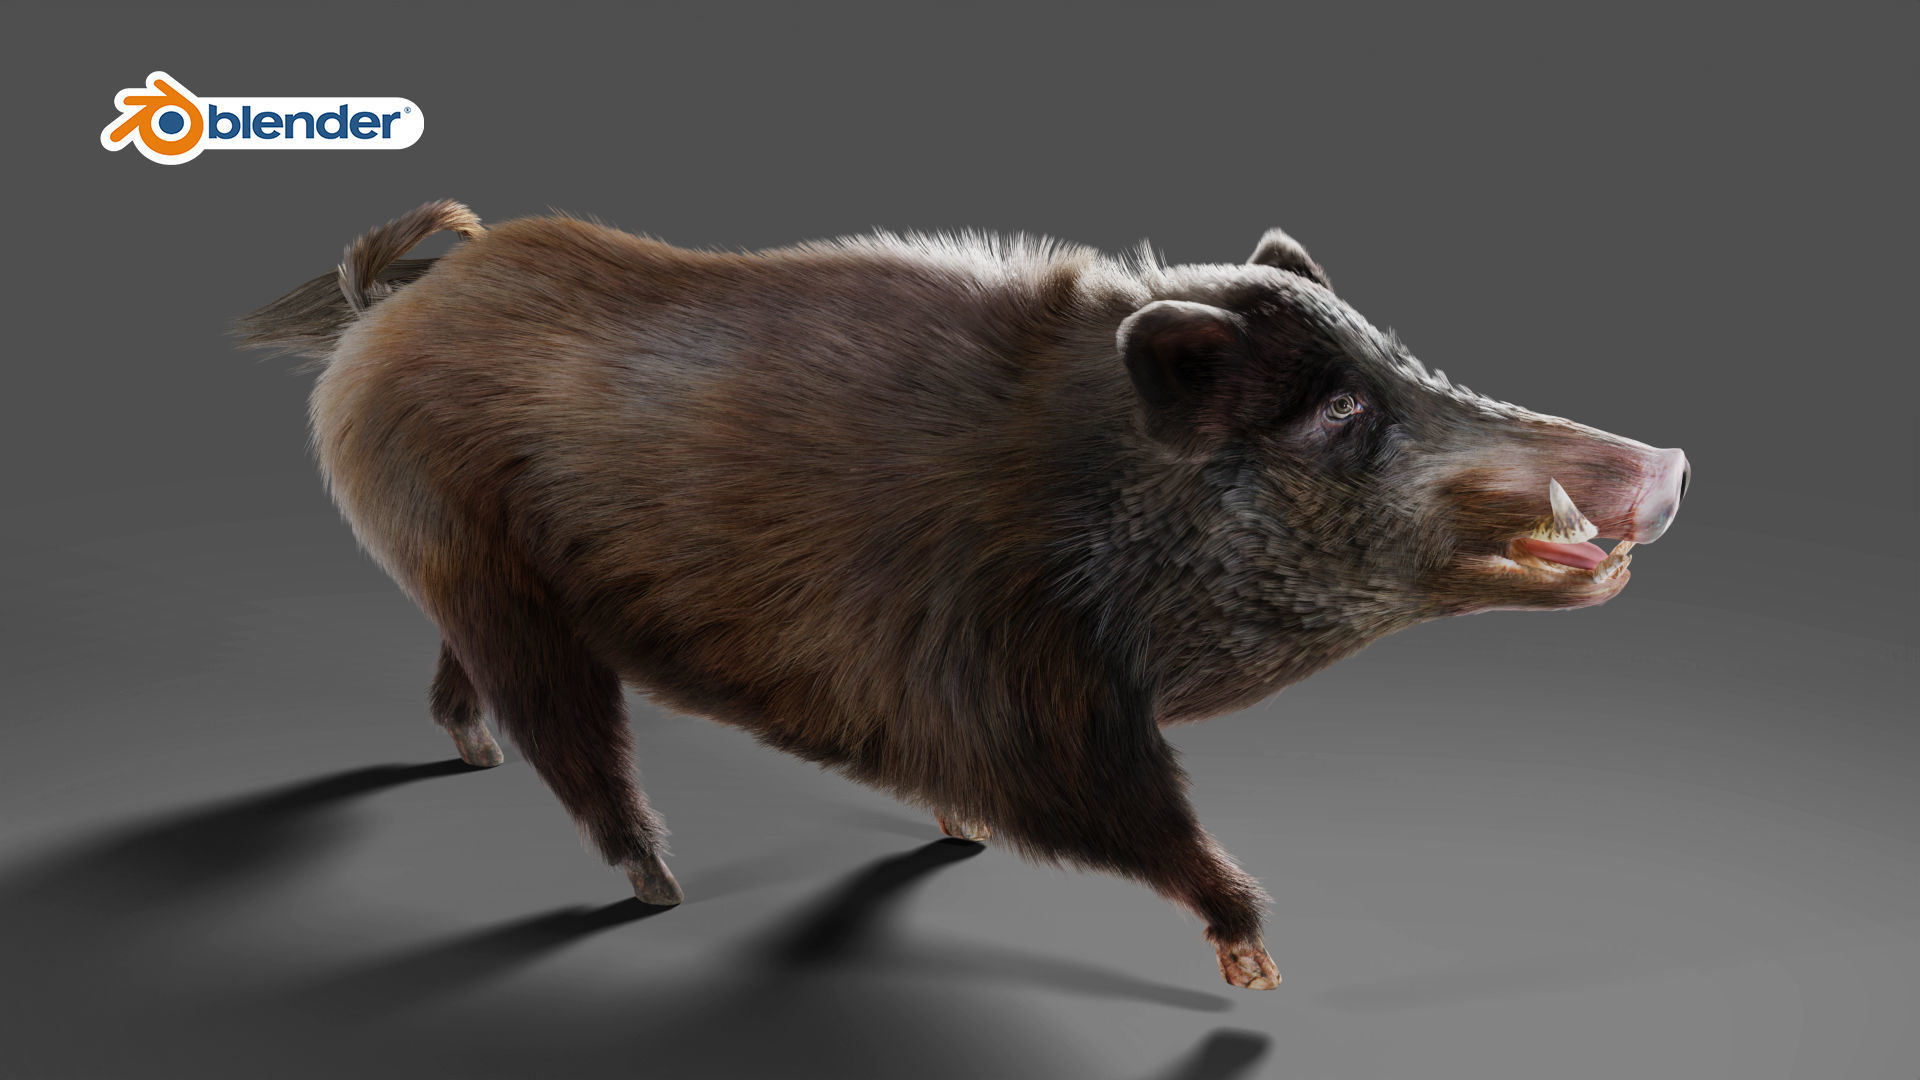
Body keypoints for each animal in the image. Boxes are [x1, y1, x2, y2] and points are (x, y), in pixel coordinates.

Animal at [234, 201, 1689, 989]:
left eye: (1403, 359)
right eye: (1337, 412)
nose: (1667, 463)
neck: (1093, 498)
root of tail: (379, 318)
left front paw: (958, 836)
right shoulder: (1016, 689)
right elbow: (1105, 810)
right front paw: (1256, 963)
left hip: (477, 579)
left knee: (468, 680)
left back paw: (471, 754)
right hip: (491, 573)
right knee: (572, 741)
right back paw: (660, 891)